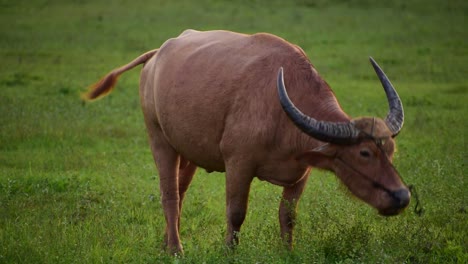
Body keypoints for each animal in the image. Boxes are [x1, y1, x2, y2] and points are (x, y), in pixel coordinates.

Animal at [83, 28, 410, 254]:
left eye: (391, 150)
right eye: (364, 153)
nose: (402, 197)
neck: (280, 110)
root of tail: (156, 56)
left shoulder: (300, 173)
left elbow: (288, 215)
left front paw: (287, 252)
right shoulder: (238, 164)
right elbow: (236, 212)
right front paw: (229, 250)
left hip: (187, 150)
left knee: (181, 189)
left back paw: (166, 243)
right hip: (159, 138)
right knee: (169, 195)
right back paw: (176, 250)